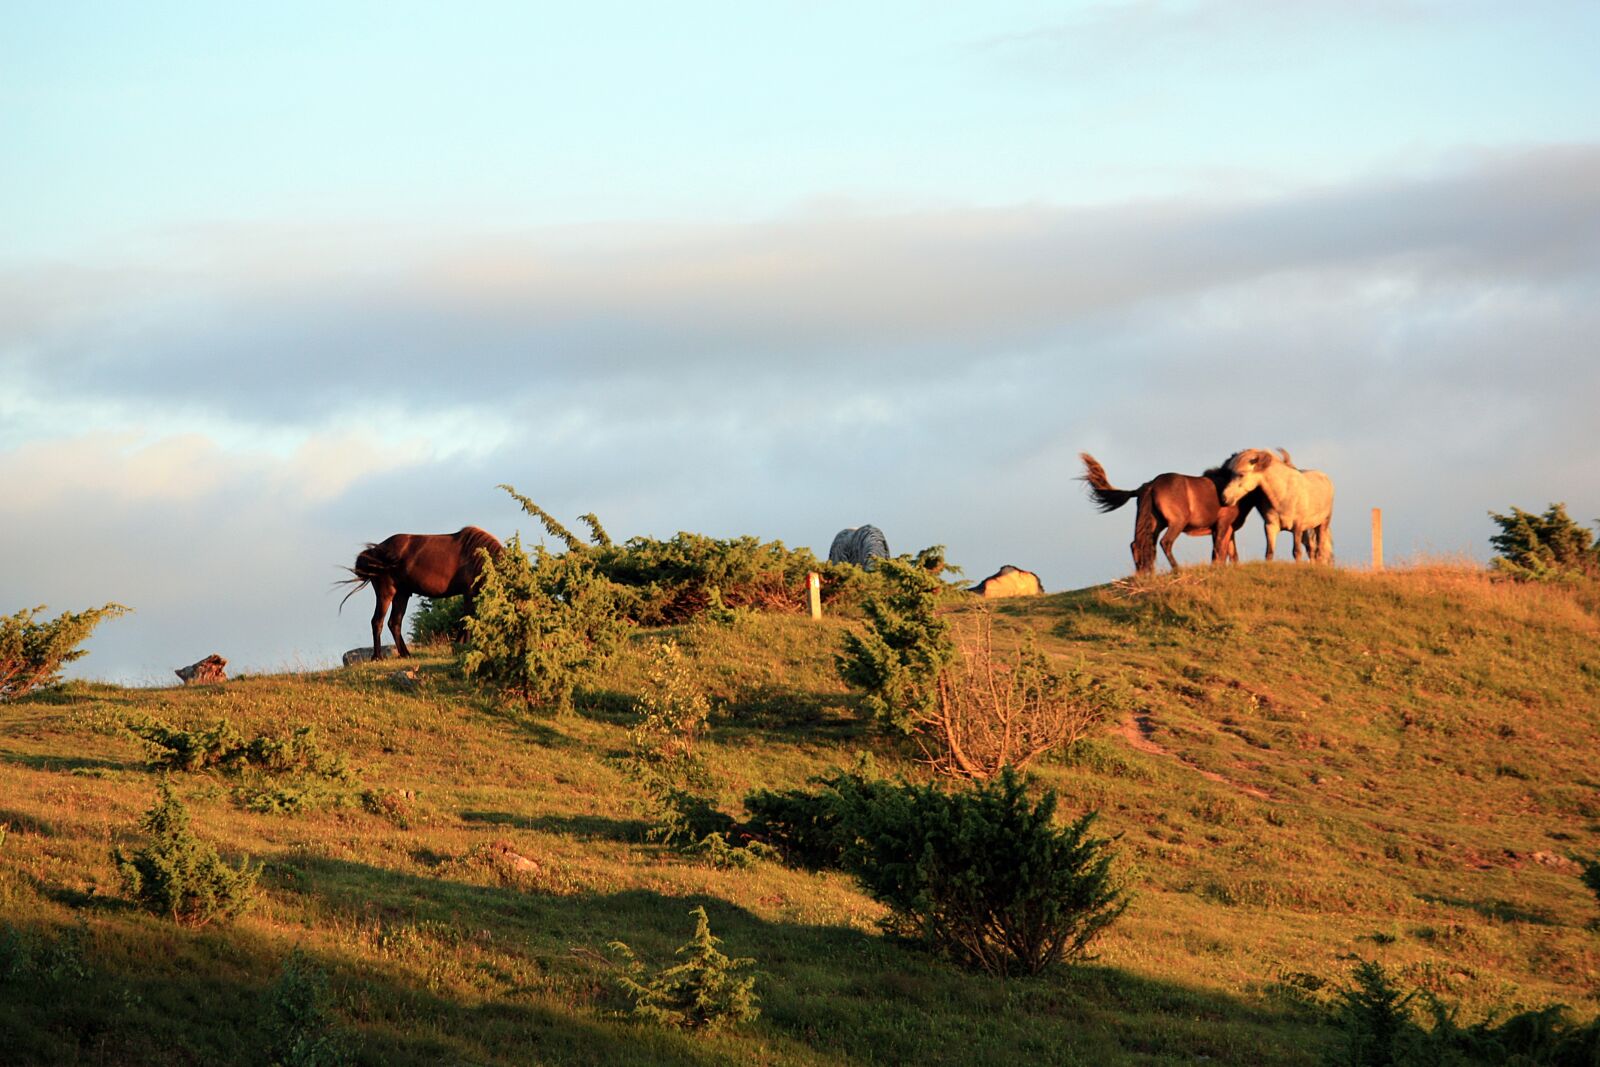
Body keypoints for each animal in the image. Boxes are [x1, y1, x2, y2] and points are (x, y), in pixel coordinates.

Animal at [337, 526, 504, 659]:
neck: (481, 556)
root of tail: (375, 552)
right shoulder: (469, 592)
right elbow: (467, 619)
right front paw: (461, 647)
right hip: (386, 594)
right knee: (377, 621)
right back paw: (377, 657)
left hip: (402, 595)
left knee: (394, 623)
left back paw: (405, 654)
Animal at [1078, 453, 1268, 574]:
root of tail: (1149, 485)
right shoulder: (1221, 526)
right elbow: (1218, 551)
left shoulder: (1228, 529)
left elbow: (1231, 553)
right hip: (1177, 522)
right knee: (1165, 542)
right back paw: (1176, 569)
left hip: (1154, 523)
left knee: (1140, 545)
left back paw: (1144, 575)